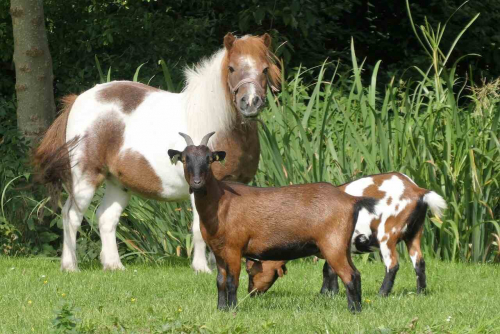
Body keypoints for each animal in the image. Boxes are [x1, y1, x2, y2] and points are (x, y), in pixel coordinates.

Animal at [32, 33, 280, 272]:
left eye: (264, 69)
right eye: (232, 68)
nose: (250, 102)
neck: (218, 126)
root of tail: (78, 99)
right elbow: (199, 229)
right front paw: (202, 269)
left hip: (118, 184)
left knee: (106, 218)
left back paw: (114, 266)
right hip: (85, 179)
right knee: (71, 216)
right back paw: (70, 266)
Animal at [169, 132, 378, 312]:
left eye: (209, 159)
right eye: (185, 159)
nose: (197, 183)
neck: (221, 203)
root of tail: (351, 199)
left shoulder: (234, 248)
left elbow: (232, 281)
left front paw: (233, 309)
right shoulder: (218, 251)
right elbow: (220, 281)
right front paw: (221, 309)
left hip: (333, 244)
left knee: (349, 275)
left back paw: (354, 311)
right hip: (343, 246)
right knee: (356, 274)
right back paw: (356, 308)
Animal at [246, 172, 446, 298]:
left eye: (250, 271)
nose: (251, 293)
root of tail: (416, 190)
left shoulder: (331, 243)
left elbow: (329, 270)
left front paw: (327, 294)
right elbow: (329, 269)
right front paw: (327, 294)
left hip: (387, 234)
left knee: (393, 265)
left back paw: (382, 294)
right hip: (414, 233)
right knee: (419, 262)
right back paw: (420, 293)